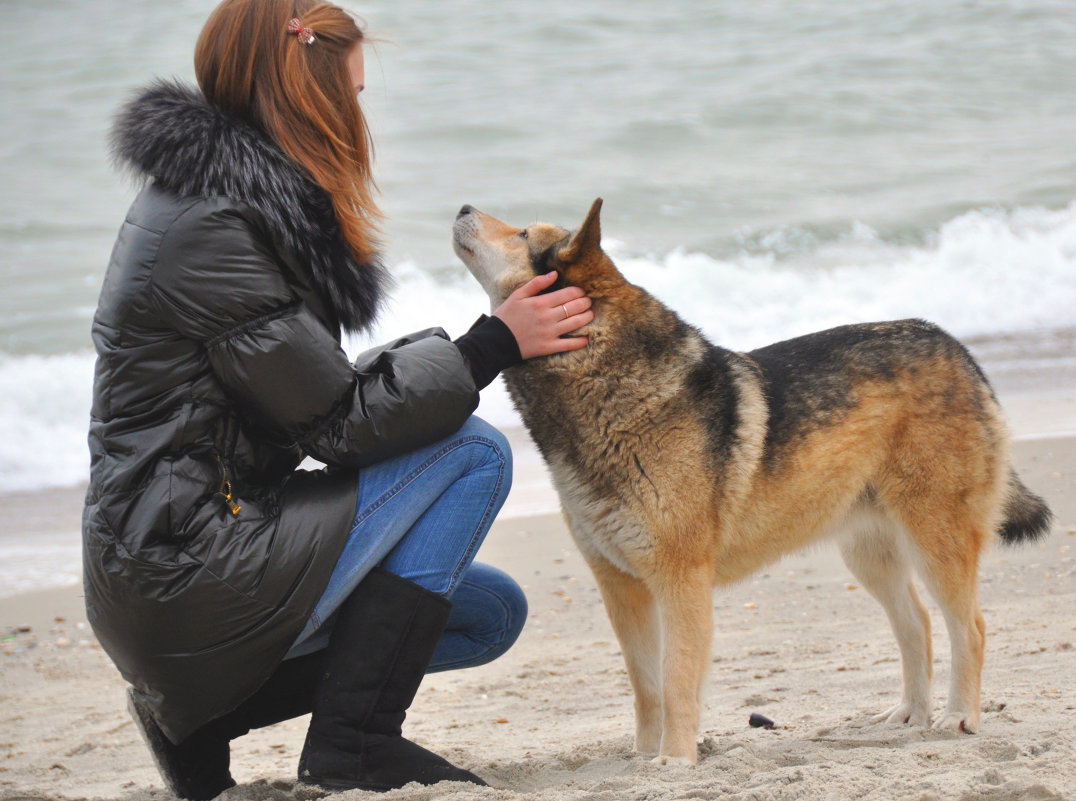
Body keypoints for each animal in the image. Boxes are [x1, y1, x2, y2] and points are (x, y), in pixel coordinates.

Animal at [451, 199, 1050, 762]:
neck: (605, 384)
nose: (461, 207)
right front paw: (644, 757)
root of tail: (955, 346)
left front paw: (675, 761)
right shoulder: (621, 588)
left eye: (522, 234)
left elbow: (677, 682)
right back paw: (910, 714)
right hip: (870, 555)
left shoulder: (682, 583)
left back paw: (958, 716)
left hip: (935, 541)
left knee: (970, 627)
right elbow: (646, 688)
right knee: (917, 626)